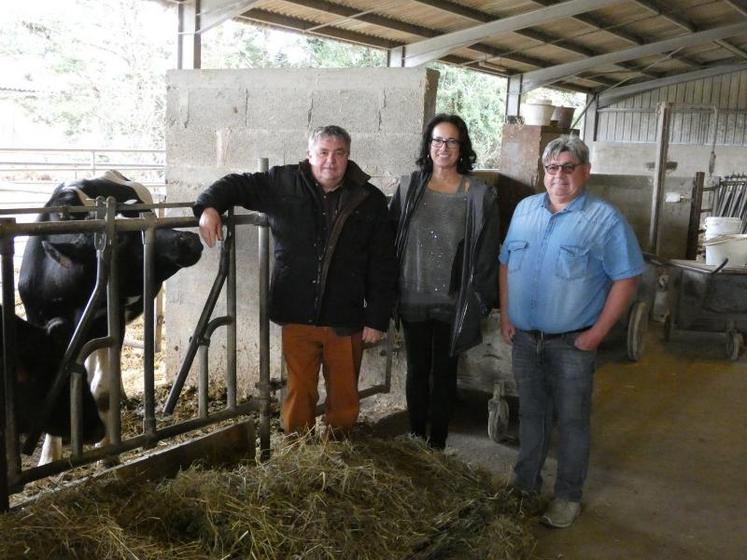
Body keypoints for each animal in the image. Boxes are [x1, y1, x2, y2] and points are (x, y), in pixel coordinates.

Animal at [19, 171, 203, 464]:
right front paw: (49, 456)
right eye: (122, 239)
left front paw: (107, 450)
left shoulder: (109, 322)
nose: (189, 240)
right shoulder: (38, 322)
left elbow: (103, 390)